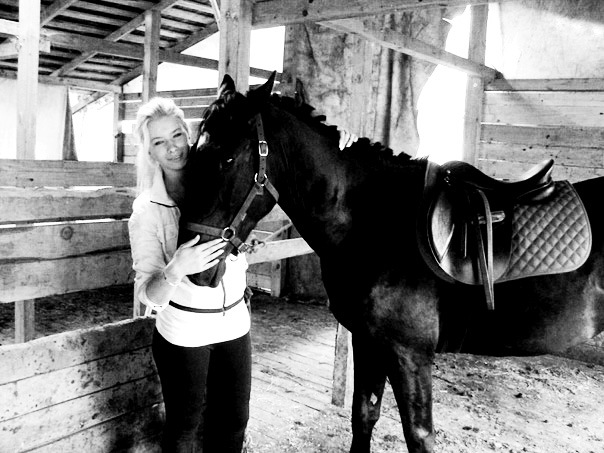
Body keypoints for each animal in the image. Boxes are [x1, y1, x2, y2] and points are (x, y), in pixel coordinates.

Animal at [179, 72, 604, 453]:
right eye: (191, 153)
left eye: (228, 158)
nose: (194, 267)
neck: (377, 222)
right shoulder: (369, 342)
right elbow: (363, 416)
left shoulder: (408, 355)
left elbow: (419, 437)